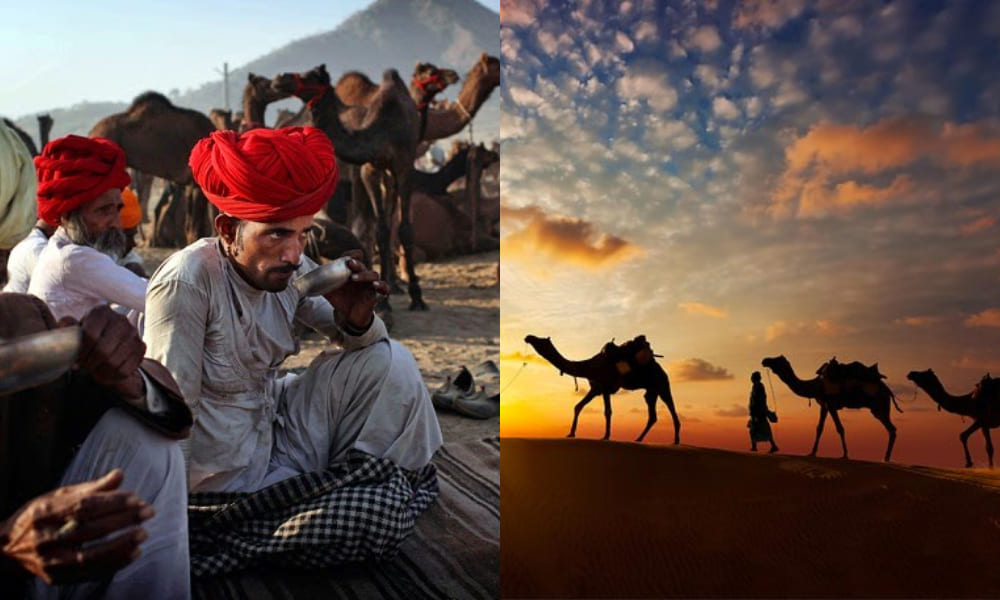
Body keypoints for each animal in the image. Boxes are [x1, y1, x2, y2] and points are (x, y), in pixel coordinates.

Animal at [274, 64, 446, 310]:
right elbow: (381, 229)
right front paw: (383, 302)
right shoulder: (371, 168)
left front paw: (417, 296)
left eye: (313, 76)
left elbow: (405, 229)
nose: (279, 79)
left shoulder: (404, 166)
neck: (382, 131)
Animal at [524, 336, 680, 442]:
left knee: (671, 407)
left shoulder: (605, 387)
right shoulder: (595, 389)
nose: (528, 337)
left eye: (541, 341)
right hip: (651, 391)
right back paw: (639, 439)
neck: (589, 367)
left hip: (662, 384)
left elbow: (607, 412)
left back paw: (676, 441)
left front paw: (606, 436)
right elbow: (578, 406)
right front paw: (571, 433)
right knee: (652, 414)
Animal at [760, 354, 904, 462]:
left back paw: (886, 458)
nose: (764, 360)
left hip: (879, 406)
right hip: (878, 408)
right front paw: (812, 452)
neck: (816, 386)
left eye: (777, 360)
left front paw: (845, 454)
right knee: (892, 429)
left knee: (892, 429)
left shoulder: (831, 404)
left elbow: (840, 428)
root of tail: (888, 390)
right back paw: (886, 458)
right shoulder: (824, 405)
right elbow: (819, 428)